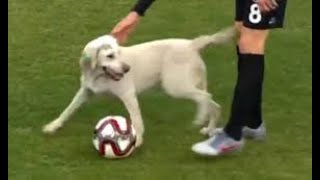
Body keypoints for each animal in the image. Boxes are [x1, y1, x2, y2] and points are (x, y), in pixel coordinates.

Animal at [43, 27, 235, 148]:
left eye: (118, 53)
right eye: (110, 55)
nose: (127, 69)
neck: (98, 75)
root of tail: (192, 44)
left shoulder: (128, 94)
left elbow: (136, 120)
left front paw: (139, 140)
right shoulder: (85, 91)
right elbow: (68, 110)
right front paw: (53, 126)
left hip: (175, 86)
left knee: (206, 98)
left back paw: (200, 119)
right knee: (214, 104)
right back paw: (209, 129)